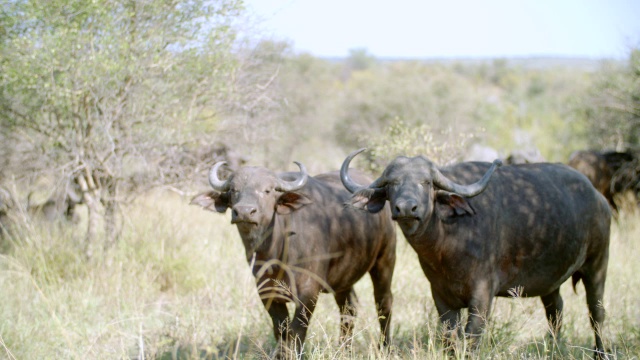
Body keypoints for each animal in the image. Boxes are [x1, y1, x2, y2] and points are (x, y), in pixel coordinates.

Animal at [190, 161, 396, 358]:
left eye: (267, 190)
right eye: (234, 190)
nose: (245, 211)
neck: (275, 253)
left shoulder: (308, 292)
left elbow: (297, 331)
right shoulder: (267, 293)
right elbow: (281, 330)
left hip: (384, 260)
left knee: (383, 303)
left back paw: (384, 347)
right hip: (344, 278)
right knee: (349, 309)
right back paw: (345, 350)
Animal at [340, 148, 608, 358]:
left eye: (426, 182)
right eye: (392, 183)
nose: (406, 208)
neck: (446, 246)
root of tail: (598, 197)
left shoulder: (482, 295)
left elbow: (471, 339)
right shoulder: (441, 296)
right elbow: (449, 338)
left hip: (597, 266)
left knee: (596, 313)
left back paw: (600, 353)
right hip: (550, 282)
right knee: (555, 311)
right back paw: (553, 348)